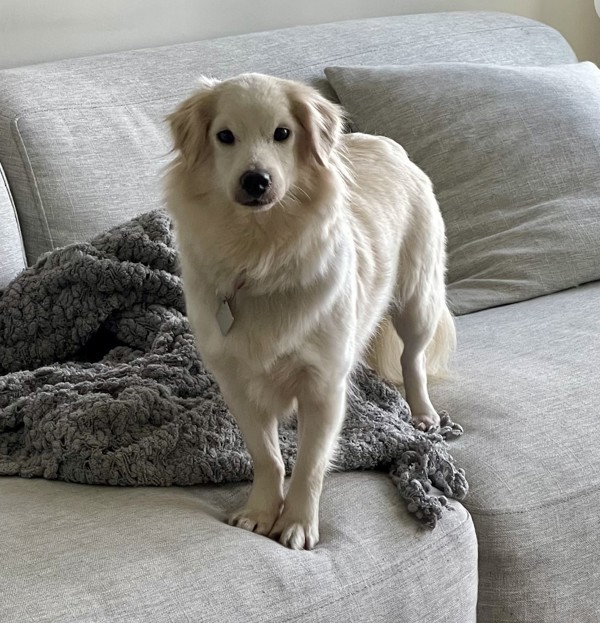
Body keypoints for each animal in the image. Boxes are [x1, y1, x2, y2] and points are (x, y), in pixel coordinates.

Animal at [164, 74, 454, 552]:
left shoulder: (322, 386)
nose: (256, 180)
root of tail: (387, 144)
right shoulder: (238, 385)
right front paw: (262, 512)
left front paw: (298, 523)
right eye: (224, 136)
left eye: (283, 133)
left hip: (418, 299)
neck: (260, 256)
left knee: (412, 358)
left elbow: (310, 464)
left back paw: (424, 413)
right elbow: (267, 456)